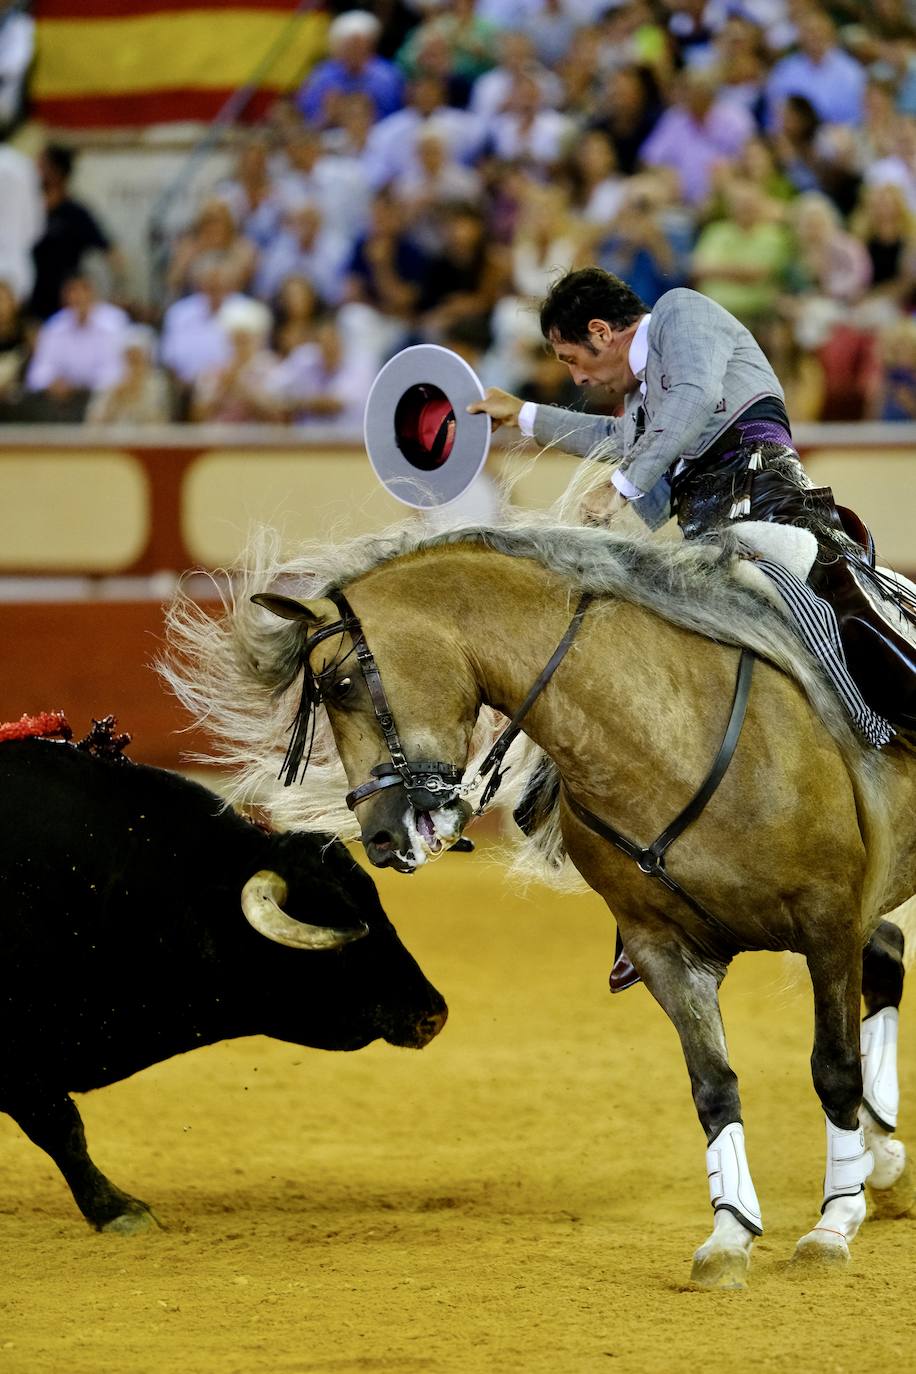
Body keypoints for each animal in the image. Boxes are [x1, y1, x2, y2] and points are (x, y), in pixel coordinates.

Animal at [168, 522, 916, 1286]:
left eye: (340, 683)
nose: (378, 836)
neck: (668, 739)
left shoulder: (827, 922)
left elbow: (834, 1069)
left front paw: (832, 1224)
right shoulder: (664, 951)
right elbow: (714, 1085)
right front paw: (730, 1235)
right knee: (887, 958)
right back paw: (883, 1160)